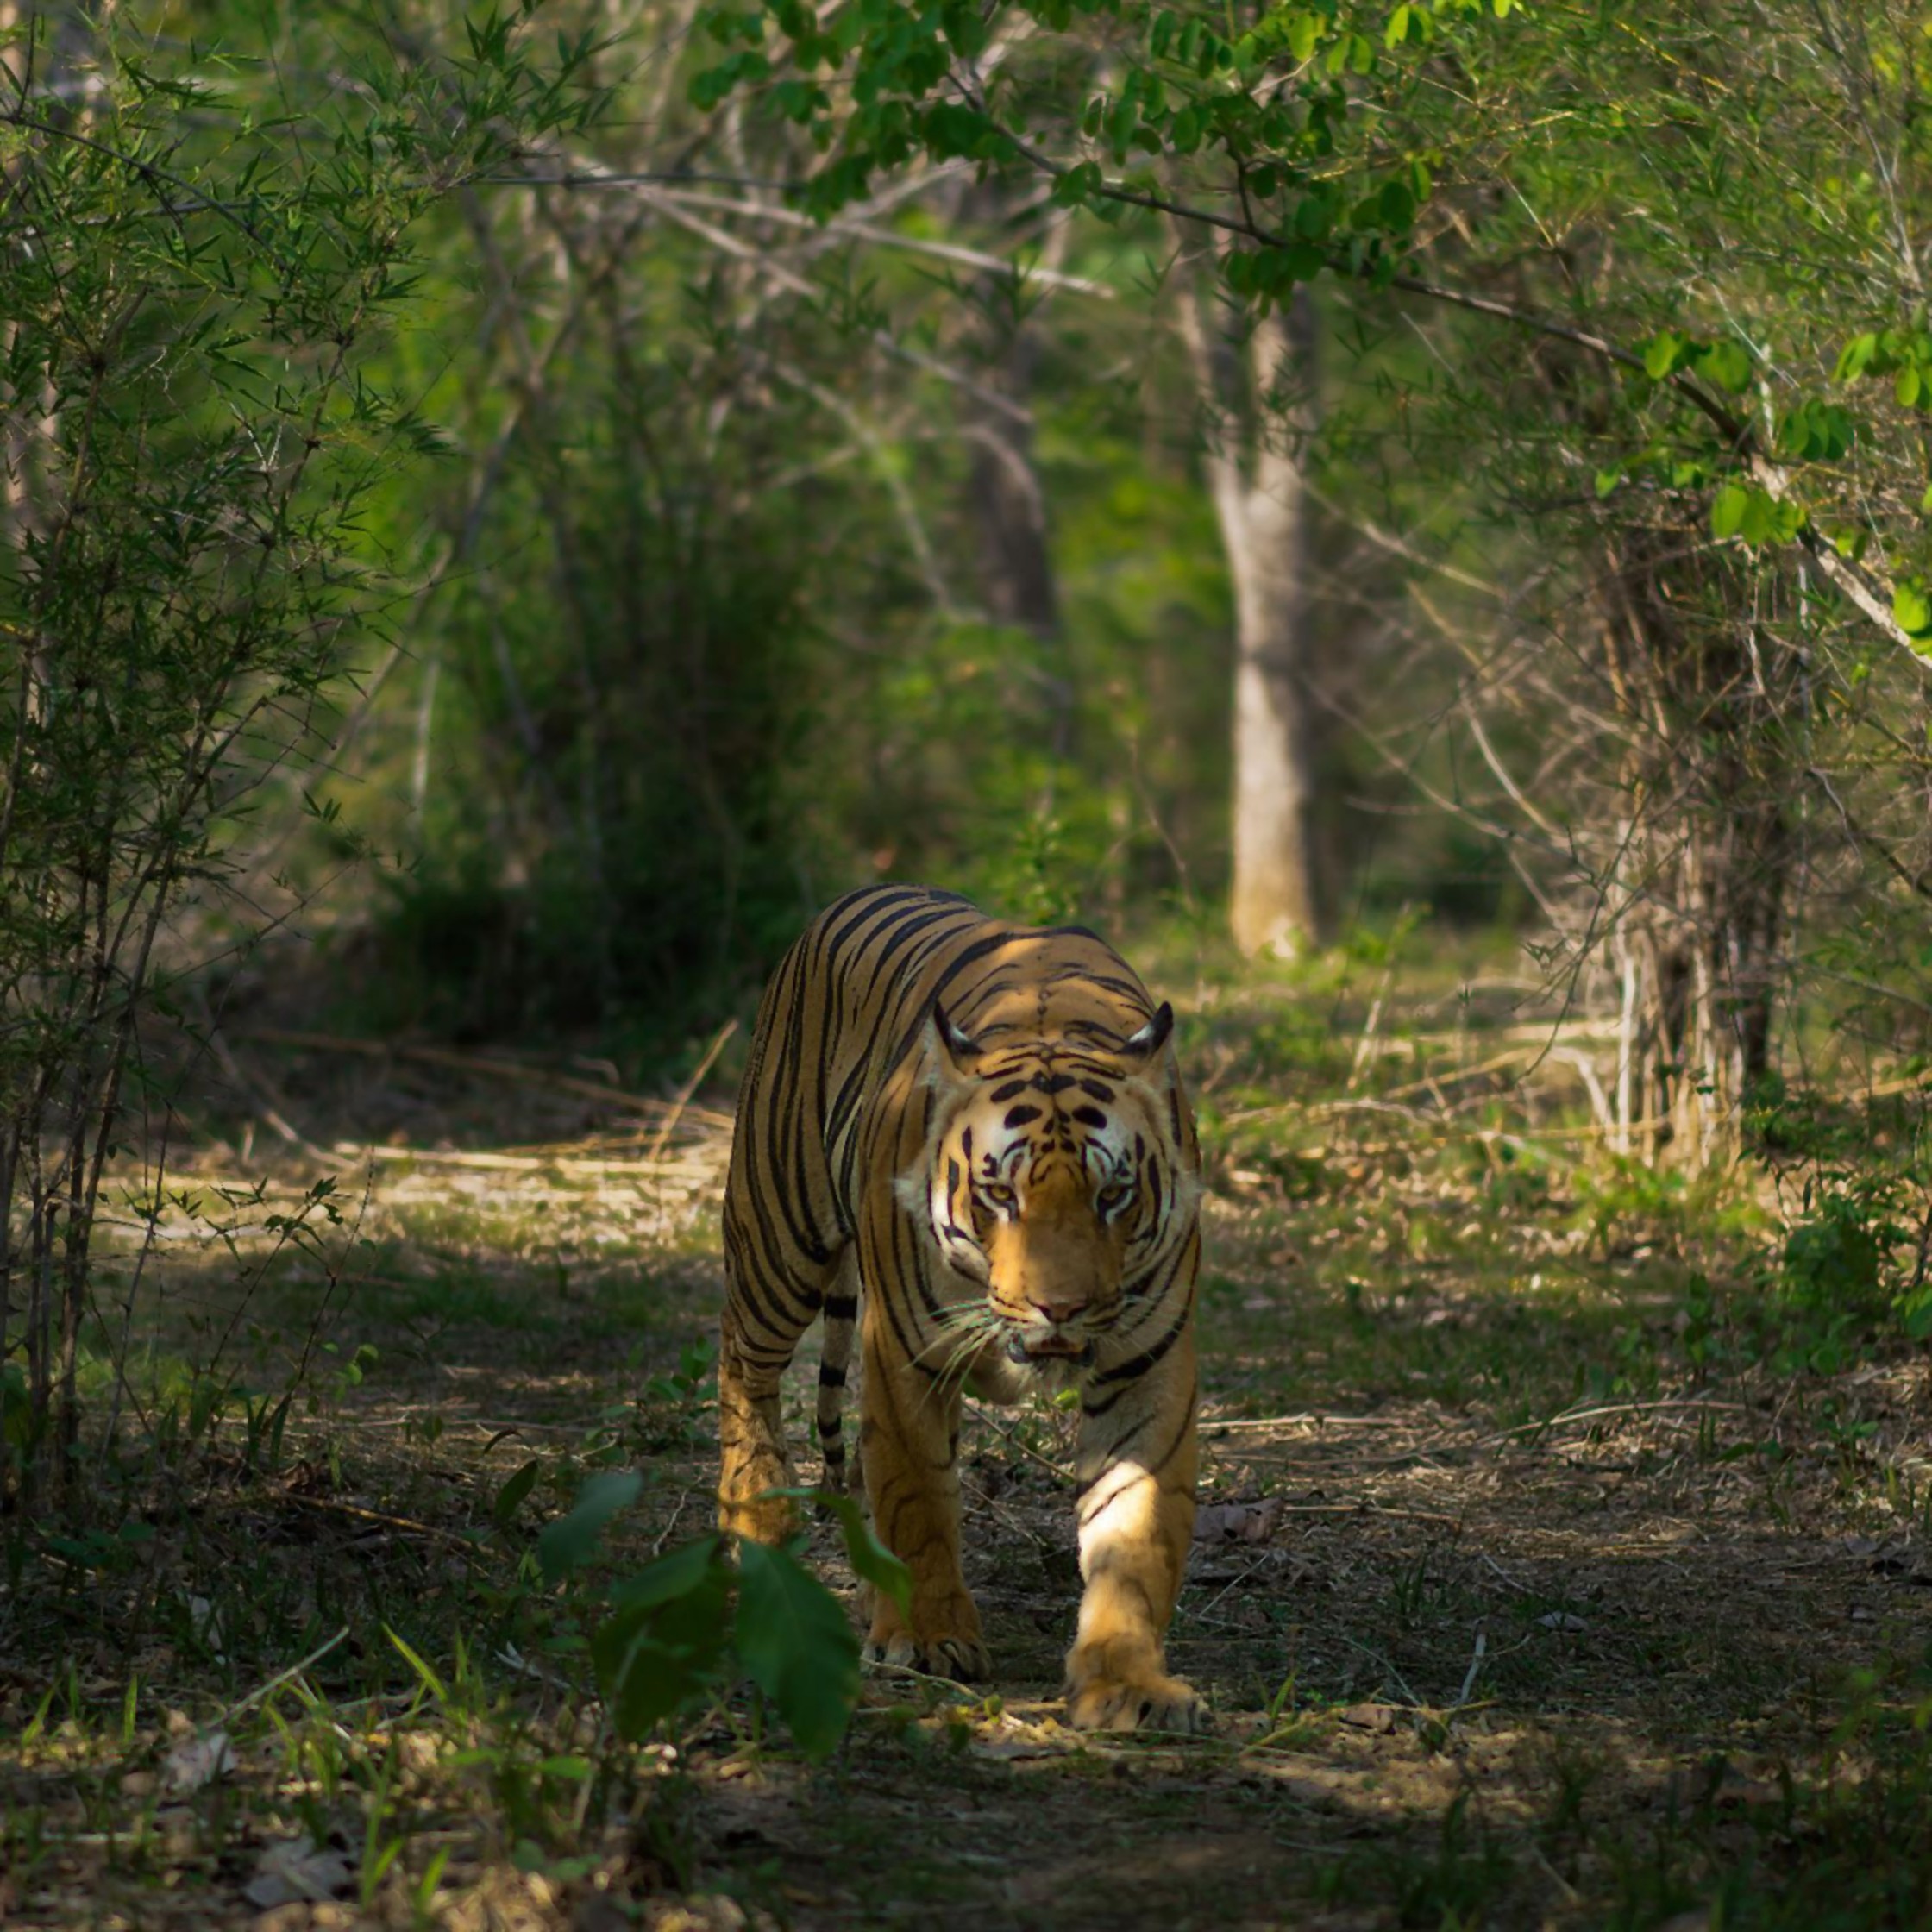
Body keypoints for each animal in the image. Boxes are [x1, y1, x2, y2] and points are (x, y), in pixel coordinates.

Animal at [717, 883, 1207, 1733]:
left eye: (1112, 1195)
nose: (1060, 1306)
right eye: (1000, 1194)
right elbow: (916, 1501)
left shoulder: (1147, 1367)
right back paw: (755, 1523)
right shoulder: (903, 1353)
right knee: (742, 1363)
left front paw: (1127, 1682)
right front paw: (926, 1640)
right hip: (777, 1234)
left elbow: (1135, 1532)